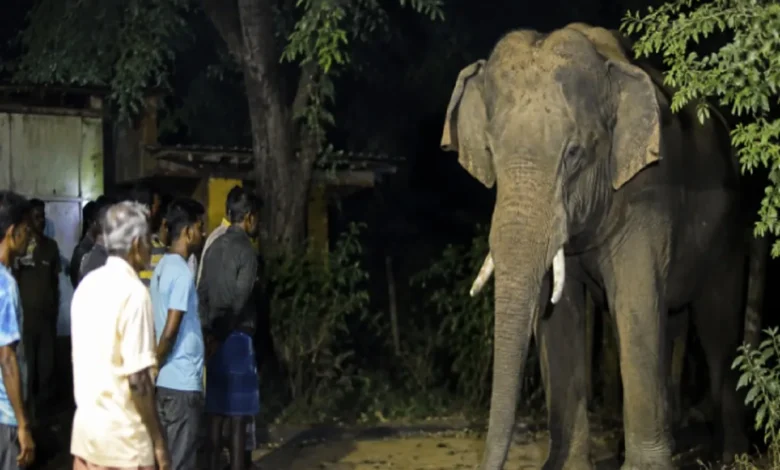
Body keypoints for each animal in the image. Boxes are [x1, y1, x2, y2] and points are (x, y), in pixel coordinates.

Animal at [440, 22, 766, 470]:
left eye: (574, 153)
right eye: (490, 152)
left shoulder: (646, 189)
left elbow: (635, 301)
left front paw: (646, 468)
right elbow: (557, 316)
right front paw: (568, 466)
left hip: (729, 230)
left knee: (717, 327)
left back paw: (733, 457)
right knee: (672, 320)